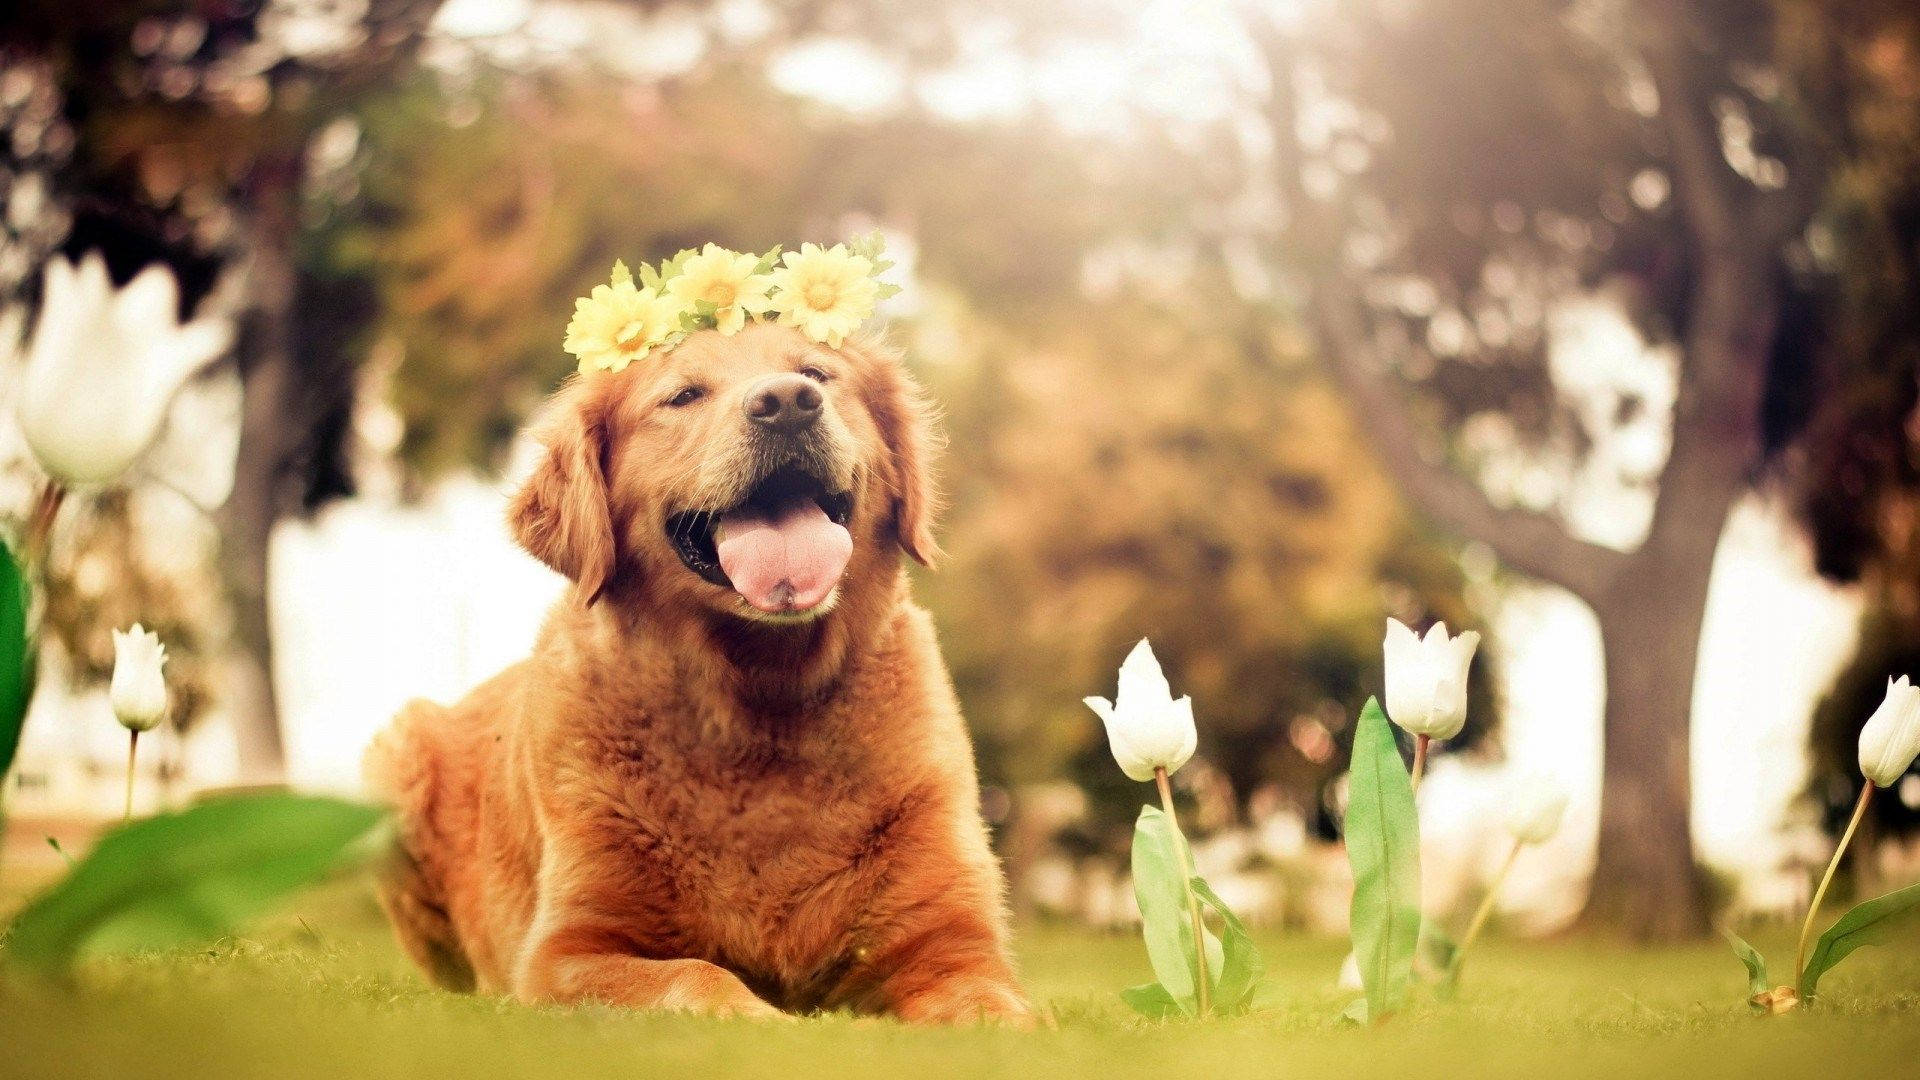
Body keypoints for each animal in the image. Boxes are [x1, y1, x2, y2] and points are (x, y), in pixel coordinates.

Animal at [360, 317, 1036, 1014]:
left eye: (817, 373)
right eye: (683, 396)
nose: (788, 403)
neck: (760, 705)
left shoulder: (954, 944)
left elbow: (989, 1005)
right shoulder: (566, 953)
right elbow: (693, 974)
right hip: (396, 756)